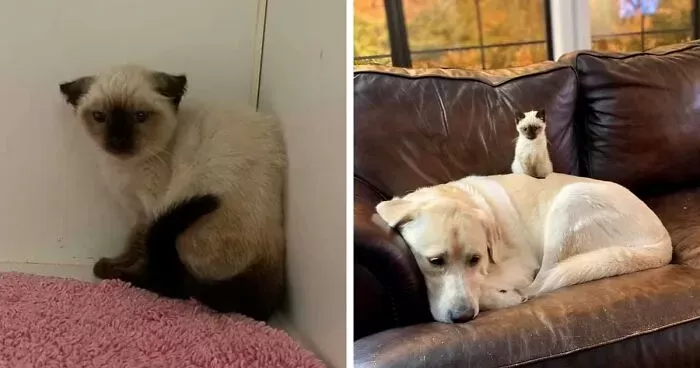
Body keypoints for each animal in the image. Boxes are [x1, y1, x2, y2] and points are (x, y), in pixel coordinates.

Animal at [58, 64, 286, 320]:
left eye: (140, 116)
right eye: (99, 117)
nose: (118, 140)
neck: (128, 167)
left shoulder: (153, 210)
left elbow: (139, 247)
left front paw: (113, 267)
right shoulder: (139, 214)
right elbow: (131, 242)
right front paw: (118, 262)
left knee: (172, 284)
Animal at [378, 174, 672, 324]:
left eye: (475, 259)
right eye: (435, 261)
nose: (463, 317)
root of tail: (663, 241)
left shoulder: (518, 267)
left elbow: (486, 284)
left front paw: (498, 295)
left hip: (569, 202)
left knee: (541, 282)